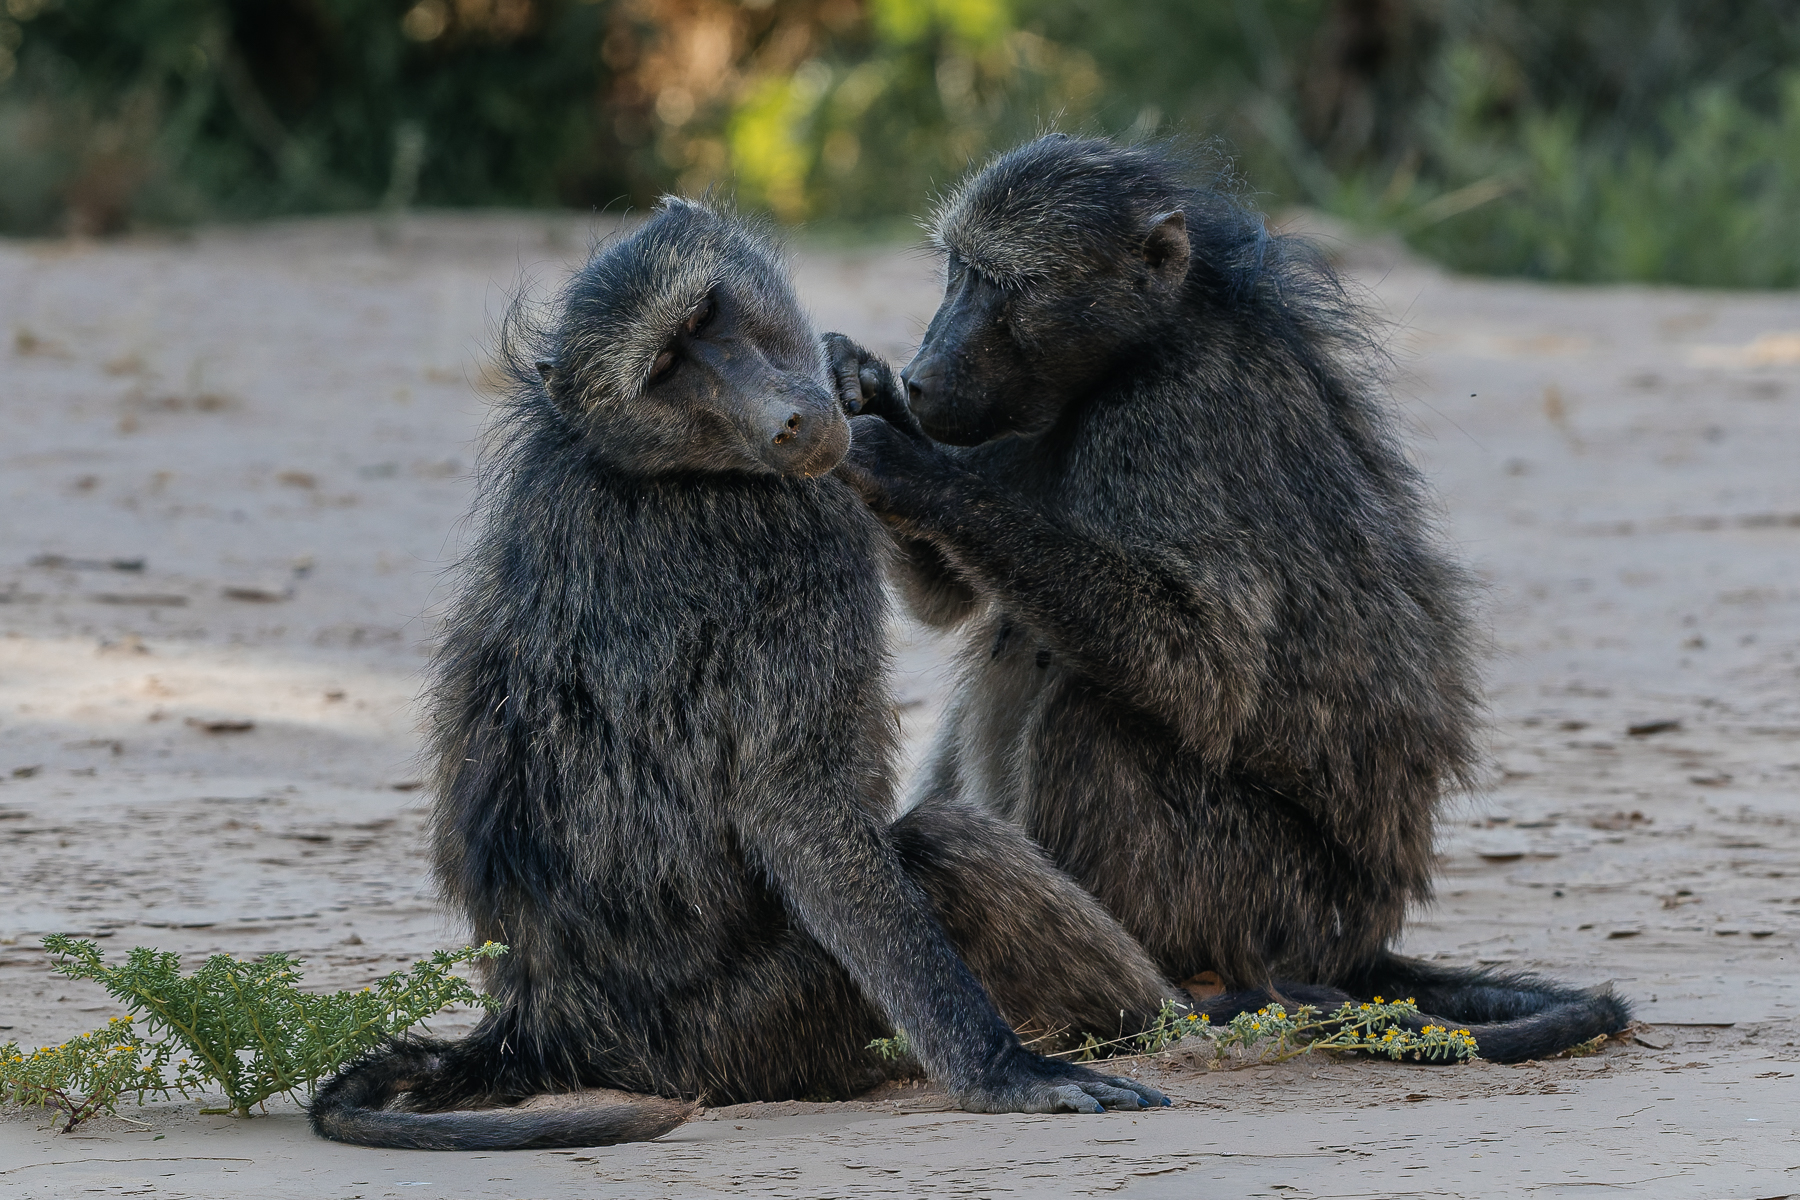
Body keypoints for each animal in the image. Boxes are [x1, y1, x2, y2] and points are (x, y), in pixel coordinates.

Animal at [309, 197, 1176, 1152]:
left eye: (704, 318)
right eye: (663, 369)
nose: (787, 423)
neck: (642, 460)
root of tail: (543, 1032)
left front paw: (859, 374)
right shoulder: (791, 539)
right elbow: (792, 803)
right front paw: (1002, 1071)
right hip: (764, 1025)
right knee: (951, 849)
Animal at [827, 134, 1631, 1063]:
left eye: (1004, 284)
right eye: (956, 270)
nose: (922, 378)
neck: (1135, 352)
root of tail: (1367, 936)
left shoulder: (1177, 413)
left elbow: (1204, 663)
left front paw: (904, 460)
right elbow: (945, 601)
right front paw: (859, 383)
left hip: (1279, 902)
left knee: (1089, 705)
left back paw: (1179, 994)